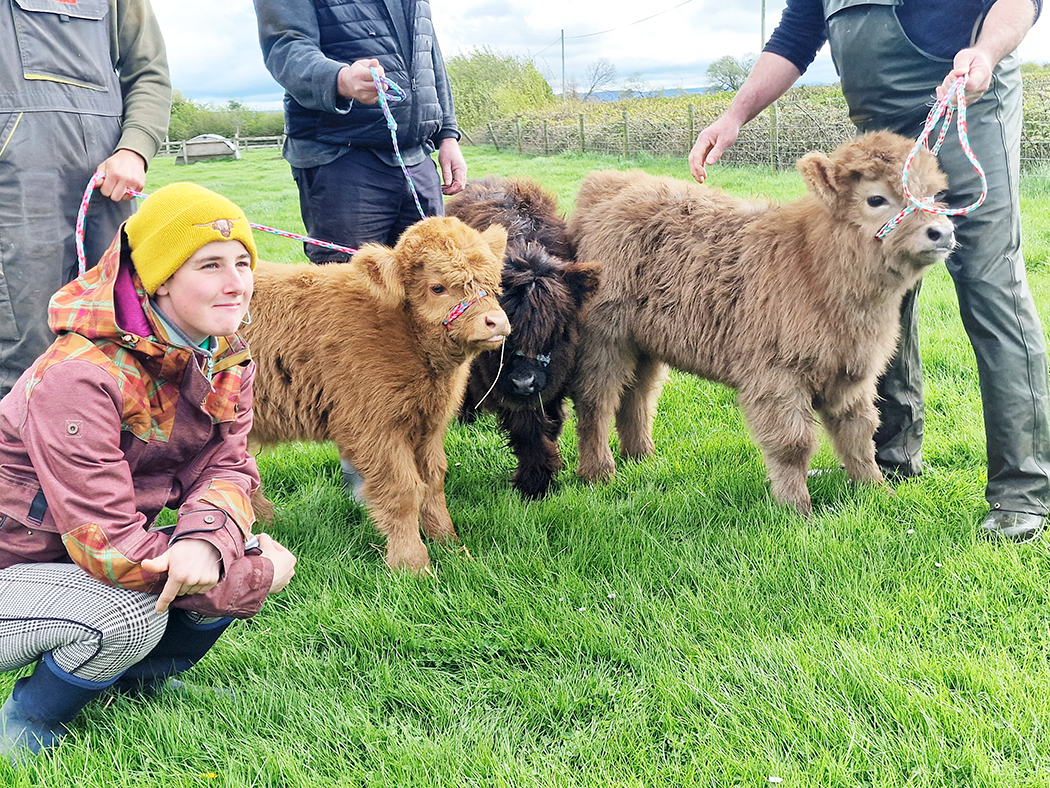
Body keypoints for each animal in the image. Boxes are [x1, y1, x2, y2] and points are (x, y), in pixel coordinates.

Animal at [242, 216, 510, 571]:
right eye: (437, 287)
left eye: (492, 283)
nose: (496, 322)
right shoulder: (374, 428)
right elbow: (403, 491)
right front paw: (412, 563)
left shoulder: (429, 425)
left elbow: (433, 482)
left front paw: (450, 543)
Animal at [446, 176, 600, 498]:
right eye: (500, 331)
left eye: (557, 329)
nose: (523, 381)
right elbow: (527, 428)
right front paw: (535, 483)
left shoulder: (556, 377)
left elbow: (550, 420)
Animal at [567, 130, 956, 515]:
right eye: (876, 199)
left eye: (933, 196)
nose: (942, 231)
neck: (814, 267)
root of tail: (609, 181)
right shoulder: (776, 378)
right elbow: (793, 444)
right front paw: (797, 509)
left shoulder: (852, 374)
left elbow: (859, 434)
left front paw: (876, 491)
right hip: (604, 338)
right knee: (596, 401)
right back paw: (598, 472)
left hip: (644, 342)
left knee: (638, 396)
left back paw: (641, 457)